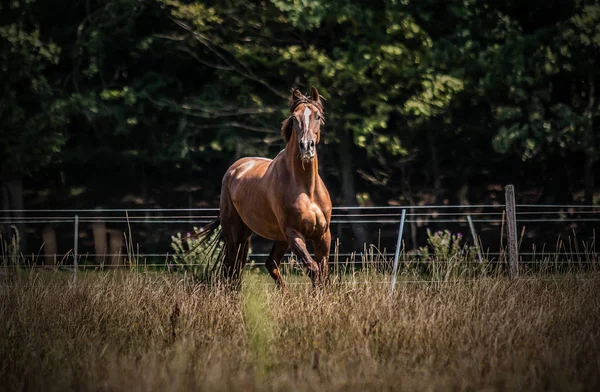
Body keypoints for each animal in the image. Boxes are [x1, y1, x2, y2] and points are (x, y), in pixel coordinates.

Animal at [191, 86, 332, 288]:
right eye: (294, 118)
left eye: (317, 116)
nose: (306, 147)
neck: (307, 189)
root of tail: (234, 169)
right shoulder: (293, 233)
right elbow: (313, 269)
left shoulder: (323, 235)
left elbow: (323, 274)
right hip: (236, 234)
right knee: (232, 267)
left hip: (273, 238)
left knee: (269, 263)